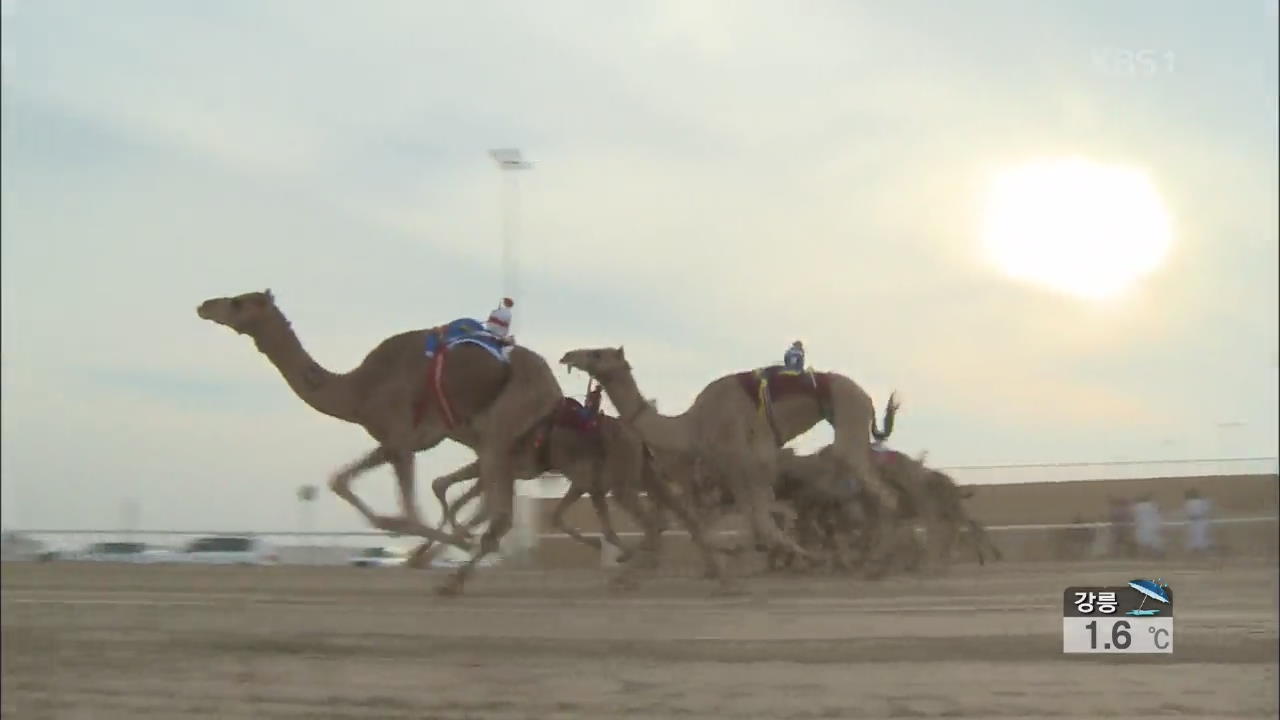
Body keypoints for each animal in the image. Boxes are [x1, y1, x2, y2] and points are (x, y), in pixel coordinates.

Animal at [197, 288, 563, 591]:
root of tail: (554, 389)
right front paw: (417, 544)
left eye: (237, 302)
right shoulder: (389, 443)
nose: (204, 305)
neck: (358, 389)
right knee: (488, 501)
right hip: (500, 442)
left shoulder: (400, 440)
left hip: (500, 428)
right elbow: (340, 481)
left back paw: (454, 576)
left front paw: (442, 546)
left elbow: (411, 513)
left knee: (497, 510)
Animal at [558, 345, 901, 573]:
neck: (692, 424)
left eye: (597, 354)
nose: (568, 356)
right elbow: (752, 518)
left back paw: (874, 561)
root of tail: (868, 398)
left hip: (848, 416)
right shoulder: (741, 470)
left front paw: (803, 557)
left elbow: (758, 519)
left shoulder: (742, 462)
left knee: (877, 492)